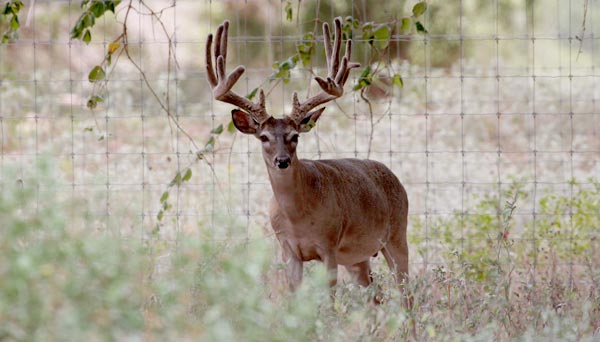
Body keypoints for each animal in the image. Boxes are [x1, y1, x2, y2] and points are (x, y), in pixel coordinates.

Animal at [205, 18, 408, 302]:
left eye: (295, 136)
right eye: (264, 137)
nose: (282, 161)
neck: (297, 216)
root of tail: (394, 176)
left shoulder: (329, 246)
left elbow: (330, 299)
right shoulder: (289, 250)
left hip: (397, 235)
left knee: (406, 293)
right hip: (358, 257)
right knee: (374, 296)